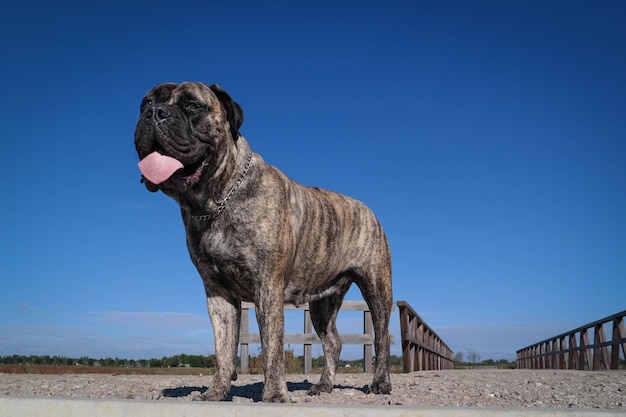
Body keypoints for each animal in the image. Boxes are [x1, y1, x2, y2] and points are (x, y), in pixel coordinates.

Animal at [135, 79, 392, 402]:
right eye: (145, 103)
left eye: (192, 105)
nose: (155, 113)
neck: (216, 201)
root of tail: (367, 209)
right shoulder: (217, 295)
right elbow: (224, 349)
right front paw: (216, 392)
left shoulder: (267, 287)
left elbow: (272, 348)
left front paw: (275, 395)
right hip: (322, 302)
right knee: (333, 342)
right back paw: (323, 385)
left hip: (377, 287)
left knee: (382, 336)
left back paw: (381, 383)